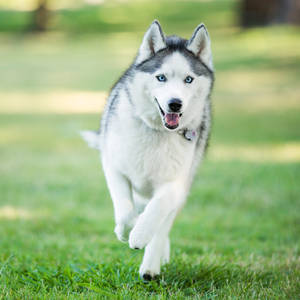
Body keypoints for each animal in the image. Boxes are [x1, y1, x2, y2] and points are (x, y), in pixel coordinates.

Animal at [81, 19, 214, 280]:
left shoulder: (176, 184)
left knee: (163, 224)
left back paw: (151, 266)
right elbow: (124, 209)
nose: (175, 104)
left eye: (189, 79)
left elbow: (157, 210)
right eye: (161, 77)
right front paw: (127, 229)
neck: (157, 132)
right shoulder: (114, 167)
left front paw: (141, 235)